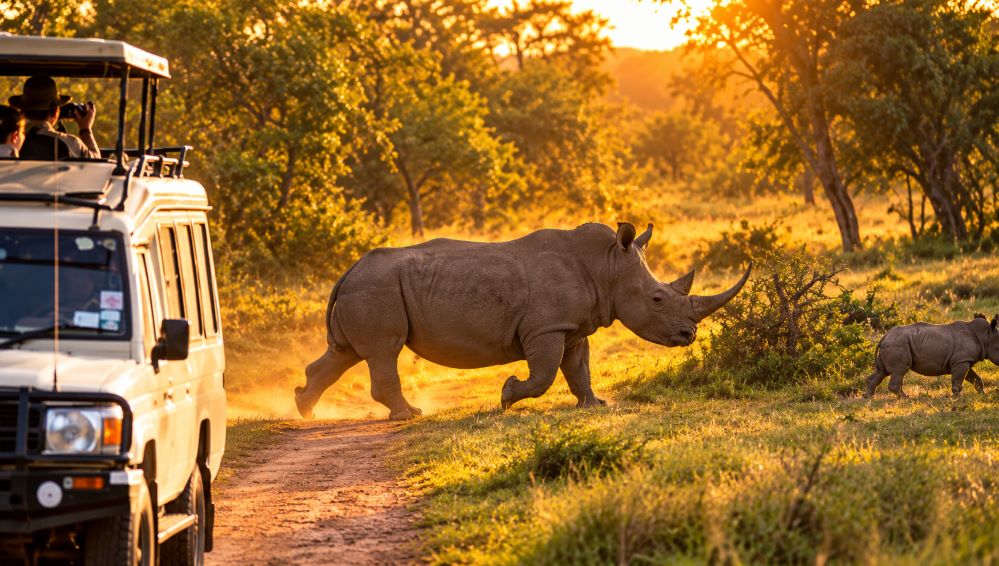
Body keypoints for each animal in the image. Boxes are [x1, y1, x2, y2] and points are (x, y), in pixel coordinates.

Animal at [294, 222, 751, 419]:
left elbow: (579, 370)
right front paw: (508, 396)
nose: (688, 334)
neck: (607, 266)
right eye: (657, 299)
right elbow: (545, 374)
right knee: (382, 352)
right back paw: (409, 415)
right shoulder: (545, 328)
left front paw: (594, 405)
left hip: (368, 288)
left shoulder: (572, 328)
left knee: (345, 353)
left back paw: (305, 410)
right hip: (377, 289)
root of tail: (349, 270)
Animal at [864, 314, 999, 398]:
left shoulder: (963, 360)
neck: (984, 336)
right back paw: (906, 398)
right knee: (899, 370)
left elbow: (976, 379)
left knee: (881, 372)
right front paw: (957, 397)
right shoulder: (961, 360)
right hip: (897, 344)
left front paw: (983, 394)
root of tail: (885, 336)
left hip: (891, 344)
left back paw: (868, 398)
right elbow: (957, 380)